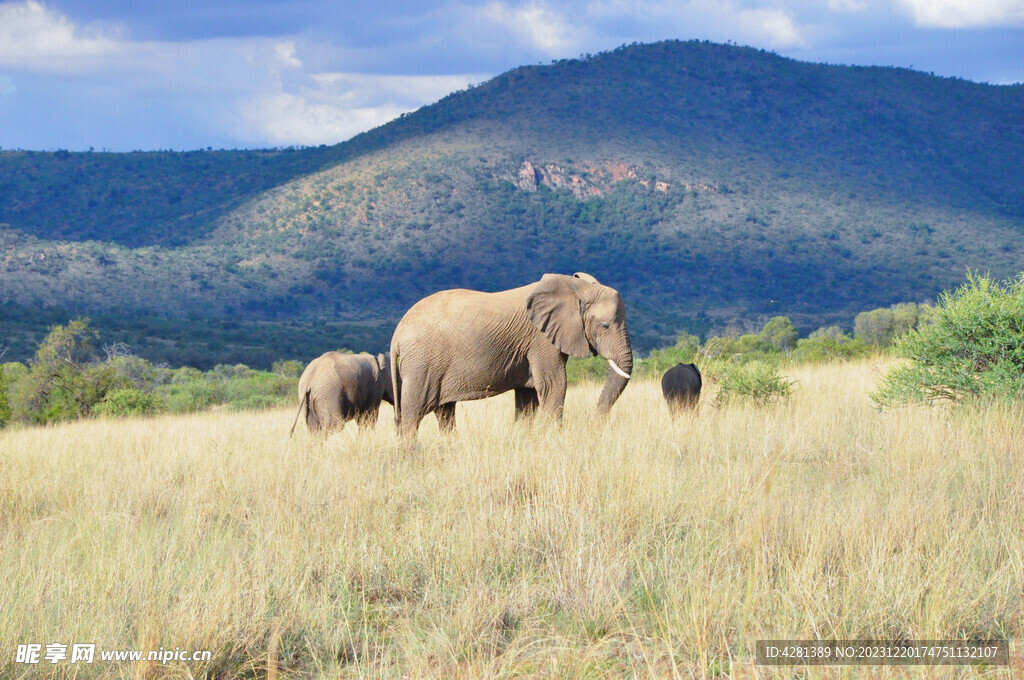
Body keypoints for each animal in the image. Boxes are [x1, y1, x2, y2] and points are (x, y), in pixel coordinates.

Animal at [390, 272, 633, 437]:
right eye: (604, 326)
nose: (596, 424)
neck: (576, 287)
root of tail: (397, 335)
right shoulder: (540, 339)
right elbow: (555, 385)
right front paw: (553, 439)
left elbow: (528, 396)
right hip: (422, 364)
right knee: (414, 413)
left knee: (445, 412)